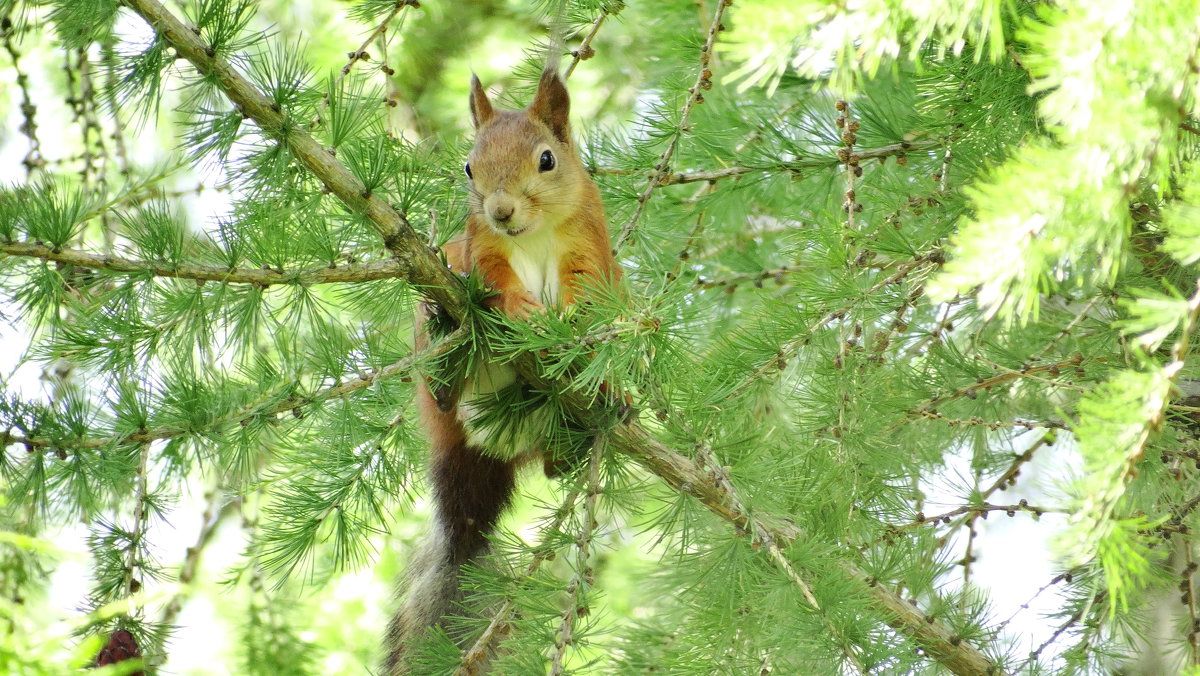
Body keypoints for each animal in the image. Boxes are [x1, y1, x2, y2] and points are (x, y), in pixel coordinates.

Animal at [388, 68, 624, 672]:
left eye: (547, 159)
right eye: (470, 166)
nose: (499, 210)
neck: (534, 233)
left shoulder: (589, 245)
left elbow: (588, 294)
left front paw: (574, 341)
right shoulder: (483, 249)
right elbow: (494, 279)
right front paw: (523, 311)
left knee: (555, 466)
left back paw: (597, 414)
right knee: (444, 390)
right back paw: (447, 350)